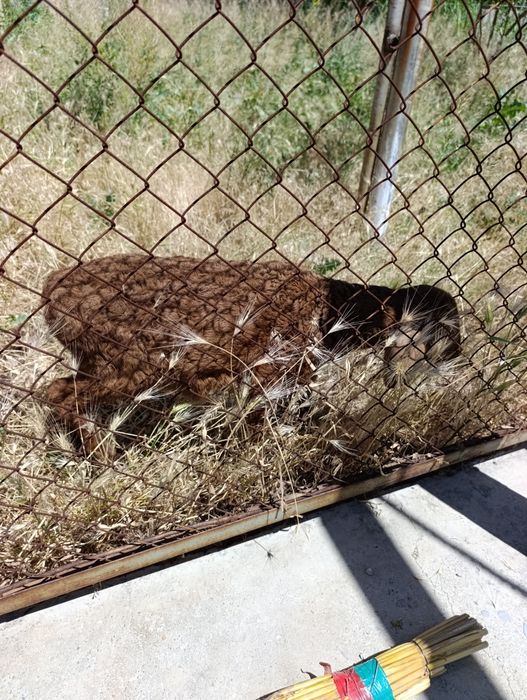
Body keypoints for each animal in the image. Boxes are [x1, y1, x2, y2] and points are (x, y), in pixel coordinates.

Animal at [41, 254, 461, 455]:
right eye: (445, 335)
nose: (458, 360)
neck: (333, 311)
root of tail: (52, 288)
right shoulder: (269, 376)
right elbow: (258, 427)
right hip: (128, 364)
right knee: (59, 393)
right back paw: (103, 458)